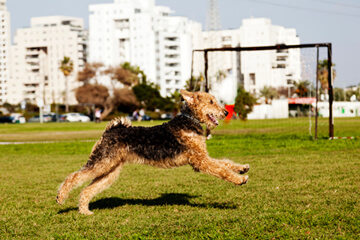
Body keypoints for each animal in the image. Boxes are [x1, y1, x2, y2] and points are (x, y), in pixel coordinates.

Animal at [57, 89, 252, 215]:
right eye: (211, 101)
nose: (225, 112)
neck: (189, 120)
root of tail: (110, 129)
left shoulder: (202, 157)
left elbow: (224, 163)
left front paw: (242, 168)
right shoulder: (200, 161)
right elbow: (222, 170)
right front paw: (240, 179)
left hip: (110, 170)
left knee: (88, 189)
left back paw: (85, 211)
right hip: (102, 162)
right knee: (73, 177)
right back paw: (61, 197)